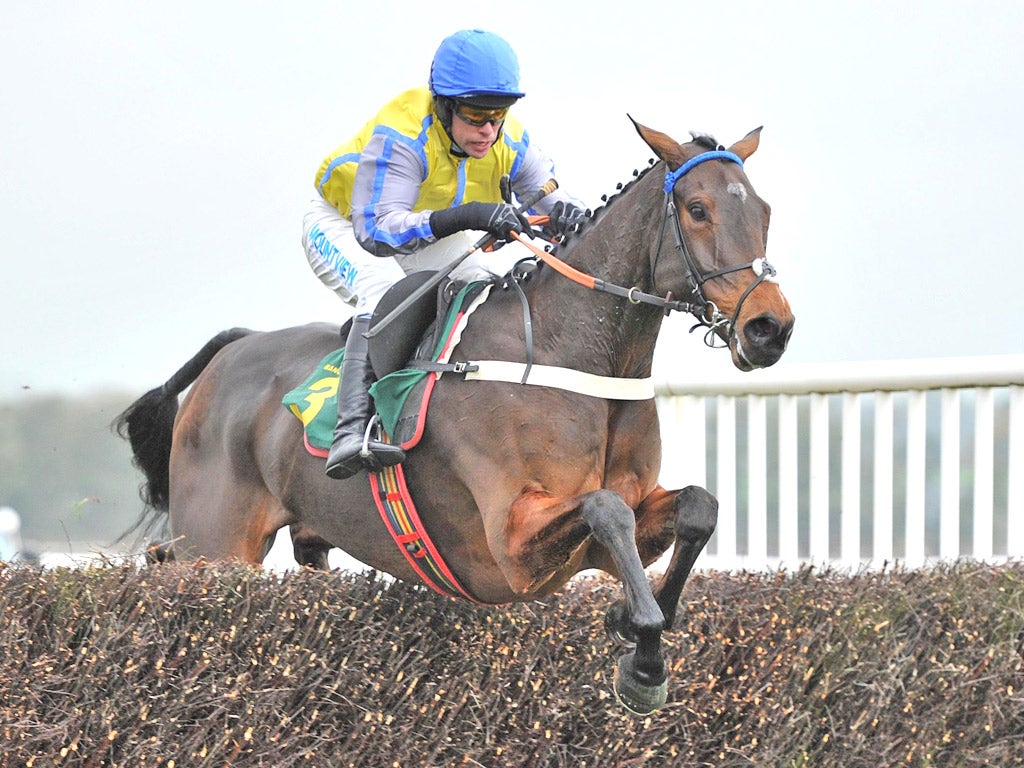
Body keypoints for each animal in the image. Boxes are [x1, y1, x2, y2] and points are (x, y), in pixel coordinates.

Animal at [117, 120, 790, 716]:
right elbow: (606, 509)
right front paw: (644, 663)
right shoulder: (511, 547)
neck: (569, 350)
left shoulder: (607, 535)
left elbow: (698, 506)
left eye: (763, 211)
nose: (770, 328)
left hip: (299, 539)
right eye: (698, 209)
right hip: (217, 545)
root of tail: (233, 350)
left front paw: (633, 621)